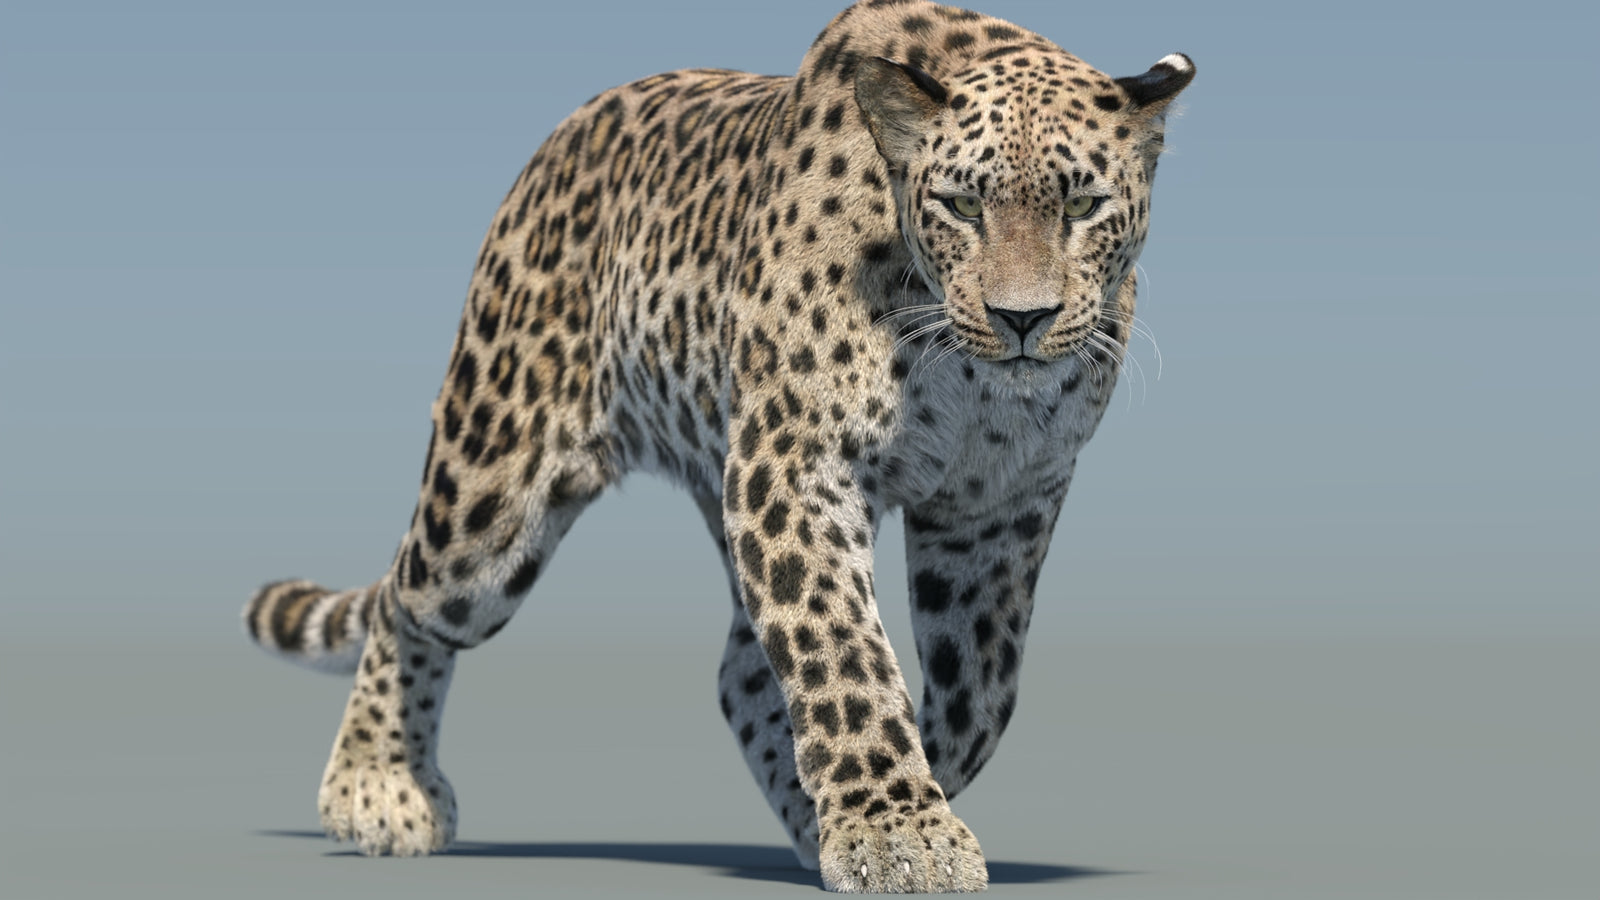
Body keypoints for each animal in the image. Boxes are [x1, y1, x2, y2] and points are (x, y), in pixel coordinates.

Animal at [242, 0, 1193, 892]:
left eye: (1082, 207)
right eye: (964, 205)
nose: (1021, 319)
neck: (967, 376)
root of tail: (560, 138)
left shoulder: (996, 506)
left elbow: (977, 690)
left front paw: (881, 807)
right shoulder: (796, 464)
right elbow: (841, 652)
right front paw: (897, 832)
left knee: (739, 673)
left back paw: (802, 816)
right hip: (490, 497)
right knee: (408, 596)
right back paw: (376, 785)